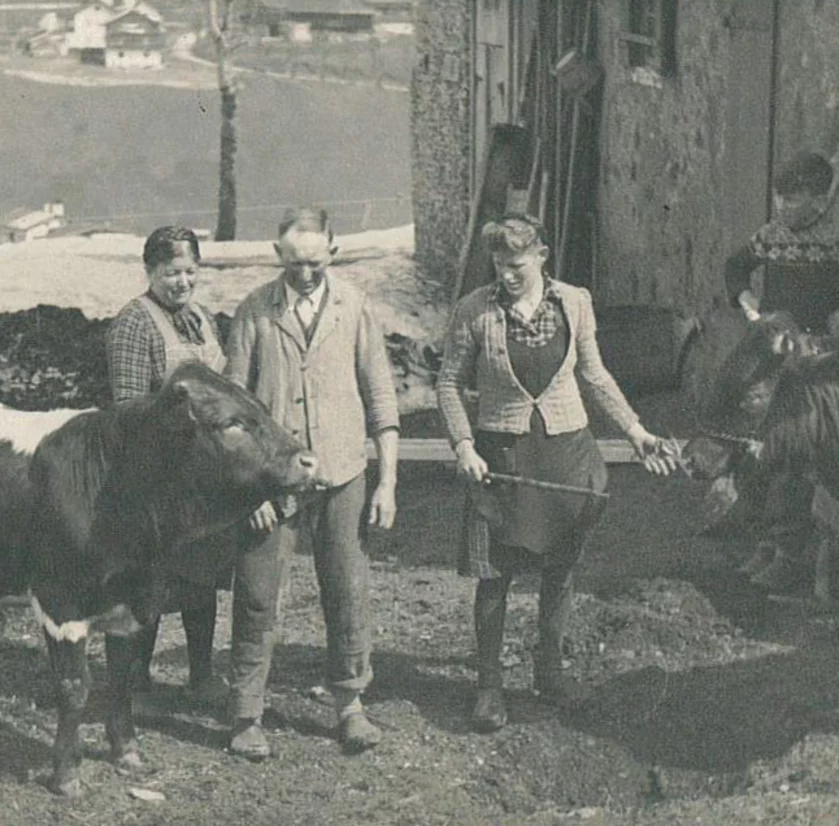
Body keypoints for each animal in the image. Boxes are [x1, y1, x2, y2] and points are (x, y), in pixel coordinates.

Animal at [1, 362, 320, 797]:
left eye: (262, 409)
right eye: (232, 423)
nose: (309, 461)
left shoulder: (135, 602)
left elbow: (121, 679)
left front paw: (127, 753)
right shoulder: (60, 601)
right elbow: (74, 687)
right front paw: (66, 774)